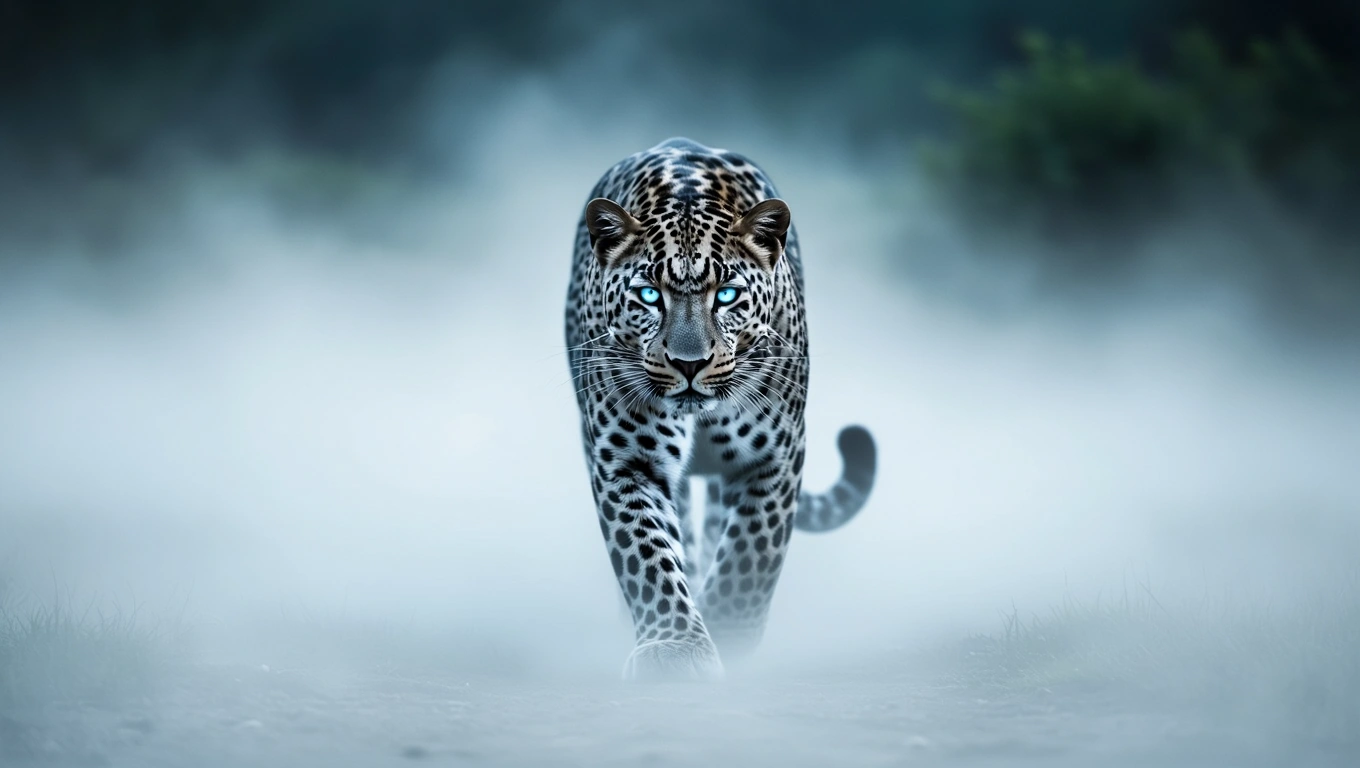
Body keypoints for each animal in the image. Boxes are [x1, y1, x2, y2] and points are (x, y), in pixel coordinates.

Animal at [564, 137, 877, 681]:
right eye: (649, 295)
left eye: (727, 295)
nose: (689, 364)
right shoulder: (626, 459)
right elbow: (647, 553)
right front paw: (675, 648)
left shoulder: (773, 456)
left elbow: (750, 556)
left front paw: (730, 634)